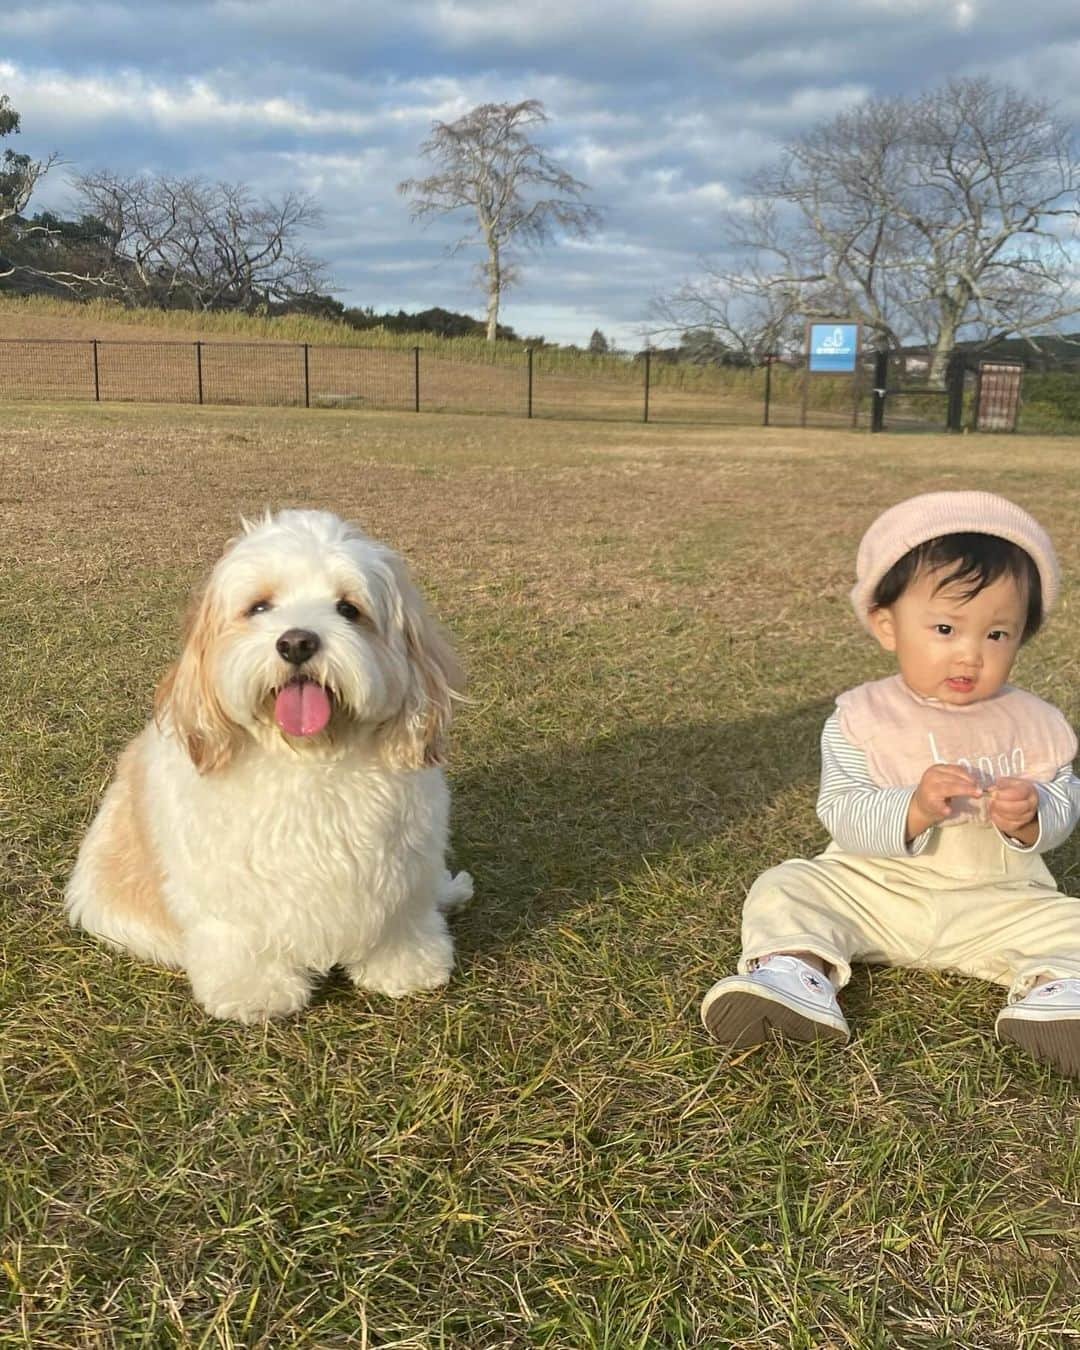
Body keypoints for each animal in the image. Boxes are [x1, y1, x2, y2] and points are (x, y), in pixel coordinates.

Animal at [66, 507, 472, 1020]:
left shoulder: (403, 866)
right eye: (259, 607)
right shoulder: (227, 884)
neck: (310, 758)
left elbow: (402, 917)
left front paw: (407, 966)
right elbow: (240, 933)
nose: (297, 642)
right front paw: (254, 991)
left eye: (348, 609)